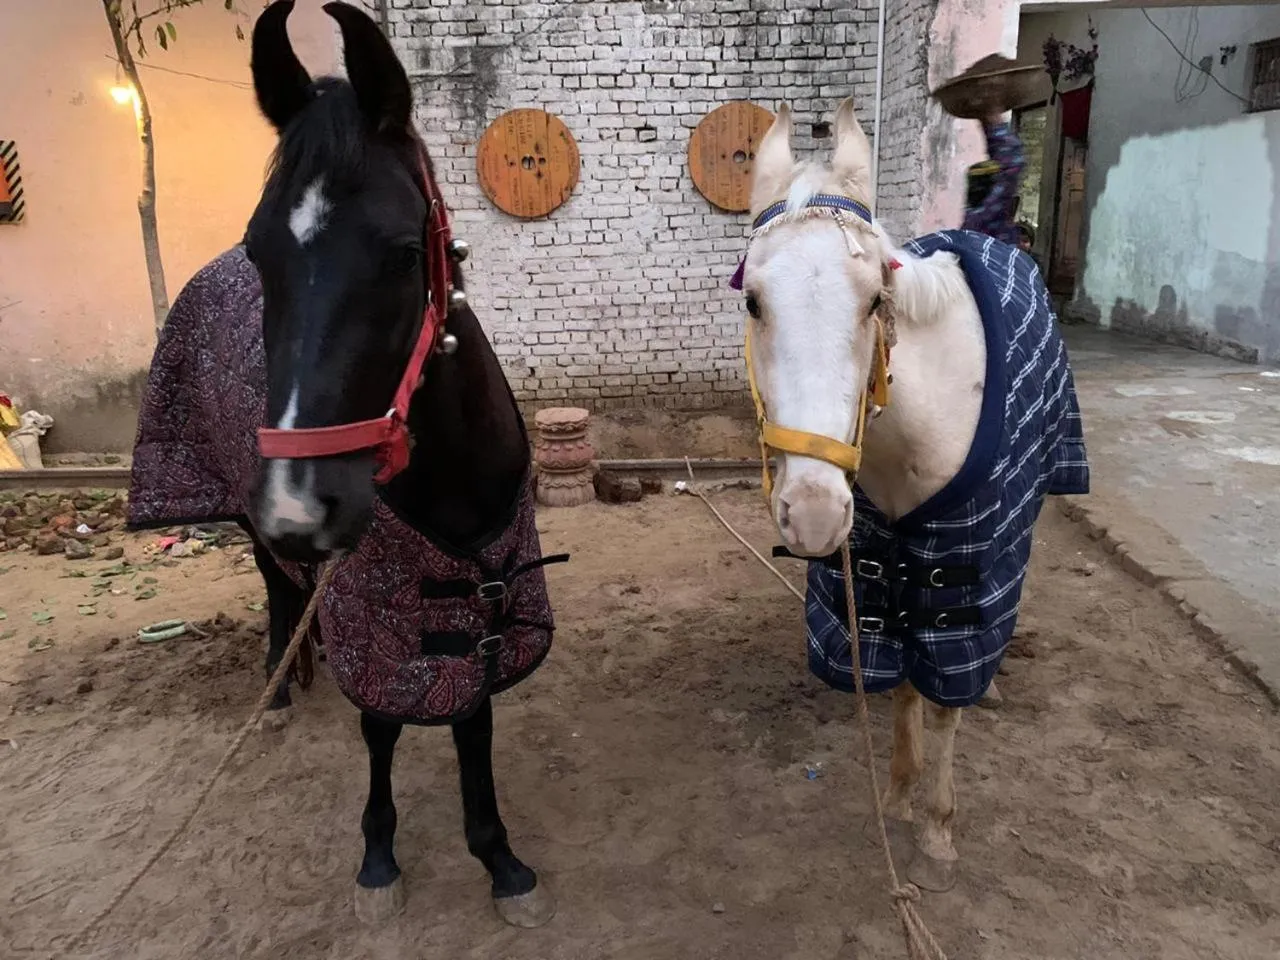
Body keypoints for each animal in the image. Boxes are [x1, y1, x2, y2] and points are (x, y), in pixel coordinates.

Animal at [127, 0, 560, 928]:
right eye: (260, 251)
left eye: (403, 251)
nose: (305, 505)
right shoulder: (374, 598)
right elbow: (381, 724)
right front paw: (379, 856)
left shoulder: (480, 585)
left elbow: (472, 716)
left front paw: (499, 857)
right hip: (247, 514)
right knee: (276, 584)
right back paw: (281, 678)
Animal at [736, 97, 1089, 891]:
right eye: (754, 302)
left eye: (875, 299)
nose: (813, 514)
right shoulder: (875, 566)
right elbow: (896, 680)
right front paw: (896, 793)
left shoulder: (961, 568)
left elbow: (945, 696)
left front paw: (937, 828)